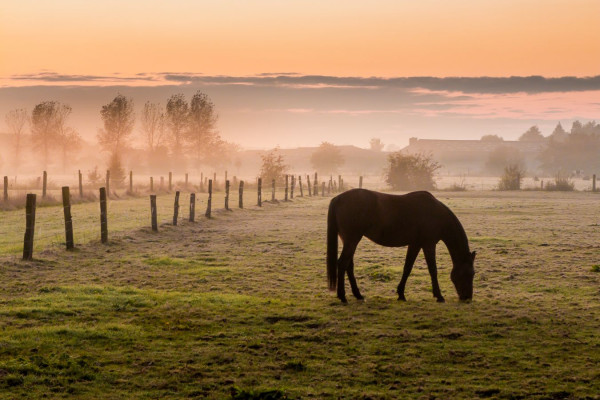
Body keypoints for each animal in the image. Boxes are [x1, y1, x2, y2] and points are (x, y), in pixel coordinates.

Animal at [326, 189, 476, 302]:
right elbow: (433, 270)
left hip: (350, 240)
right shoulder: (428, 245)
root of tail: (338, 198)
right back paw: (342, 296)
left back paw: (357, 294)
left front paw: (401, 294)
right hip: (352, 240)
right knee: (343, 263)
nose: (467, 297)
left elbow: (407, 268)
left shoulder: (415, 244)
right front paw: (439, 296)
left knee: (348, 265)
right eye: (470, 273)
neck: (435, 214)